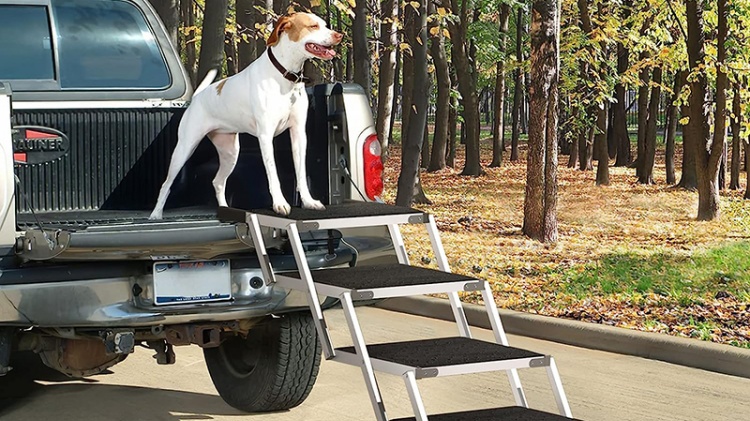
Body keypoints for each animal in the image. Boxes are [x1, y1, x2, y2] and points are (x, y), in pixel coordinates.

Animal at [150, 11, 344, 218]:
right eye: (313, 26)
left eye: (325, 25)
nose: (339, 35)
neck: (284, 76)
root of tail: (196, 98)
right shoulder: (265, 136)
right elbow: (273, 174)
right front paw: (279, 203)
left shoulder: (299, 134)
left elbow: (300, 172)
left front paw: (308, 202)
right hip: (184, 148)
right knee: (166, 184)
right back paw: (156, 215)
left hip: (230, 153)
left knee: (218, 182)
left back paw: (224, 209)